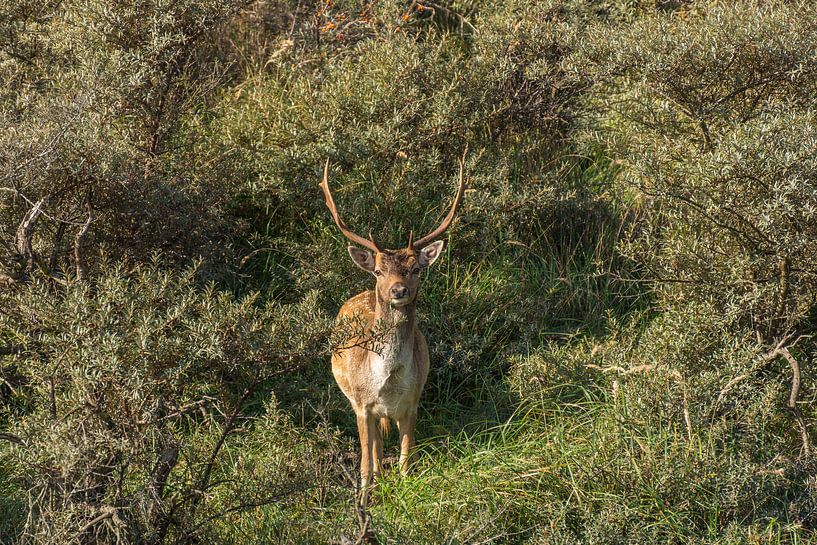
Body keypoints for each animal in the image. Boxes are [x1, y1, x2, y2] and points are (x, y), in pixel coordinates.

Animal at [320, 158, 466, 500]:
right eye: (377, 270)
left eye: (416, 269)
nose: (398, 290)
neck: (387, 379)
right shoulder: (362, 405)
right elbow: (364, 465)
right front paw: (363, 501)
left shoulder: (412, 403)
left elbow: (405, 460)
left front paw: (405, 494)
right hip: (355, 401)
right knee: (371, 452)